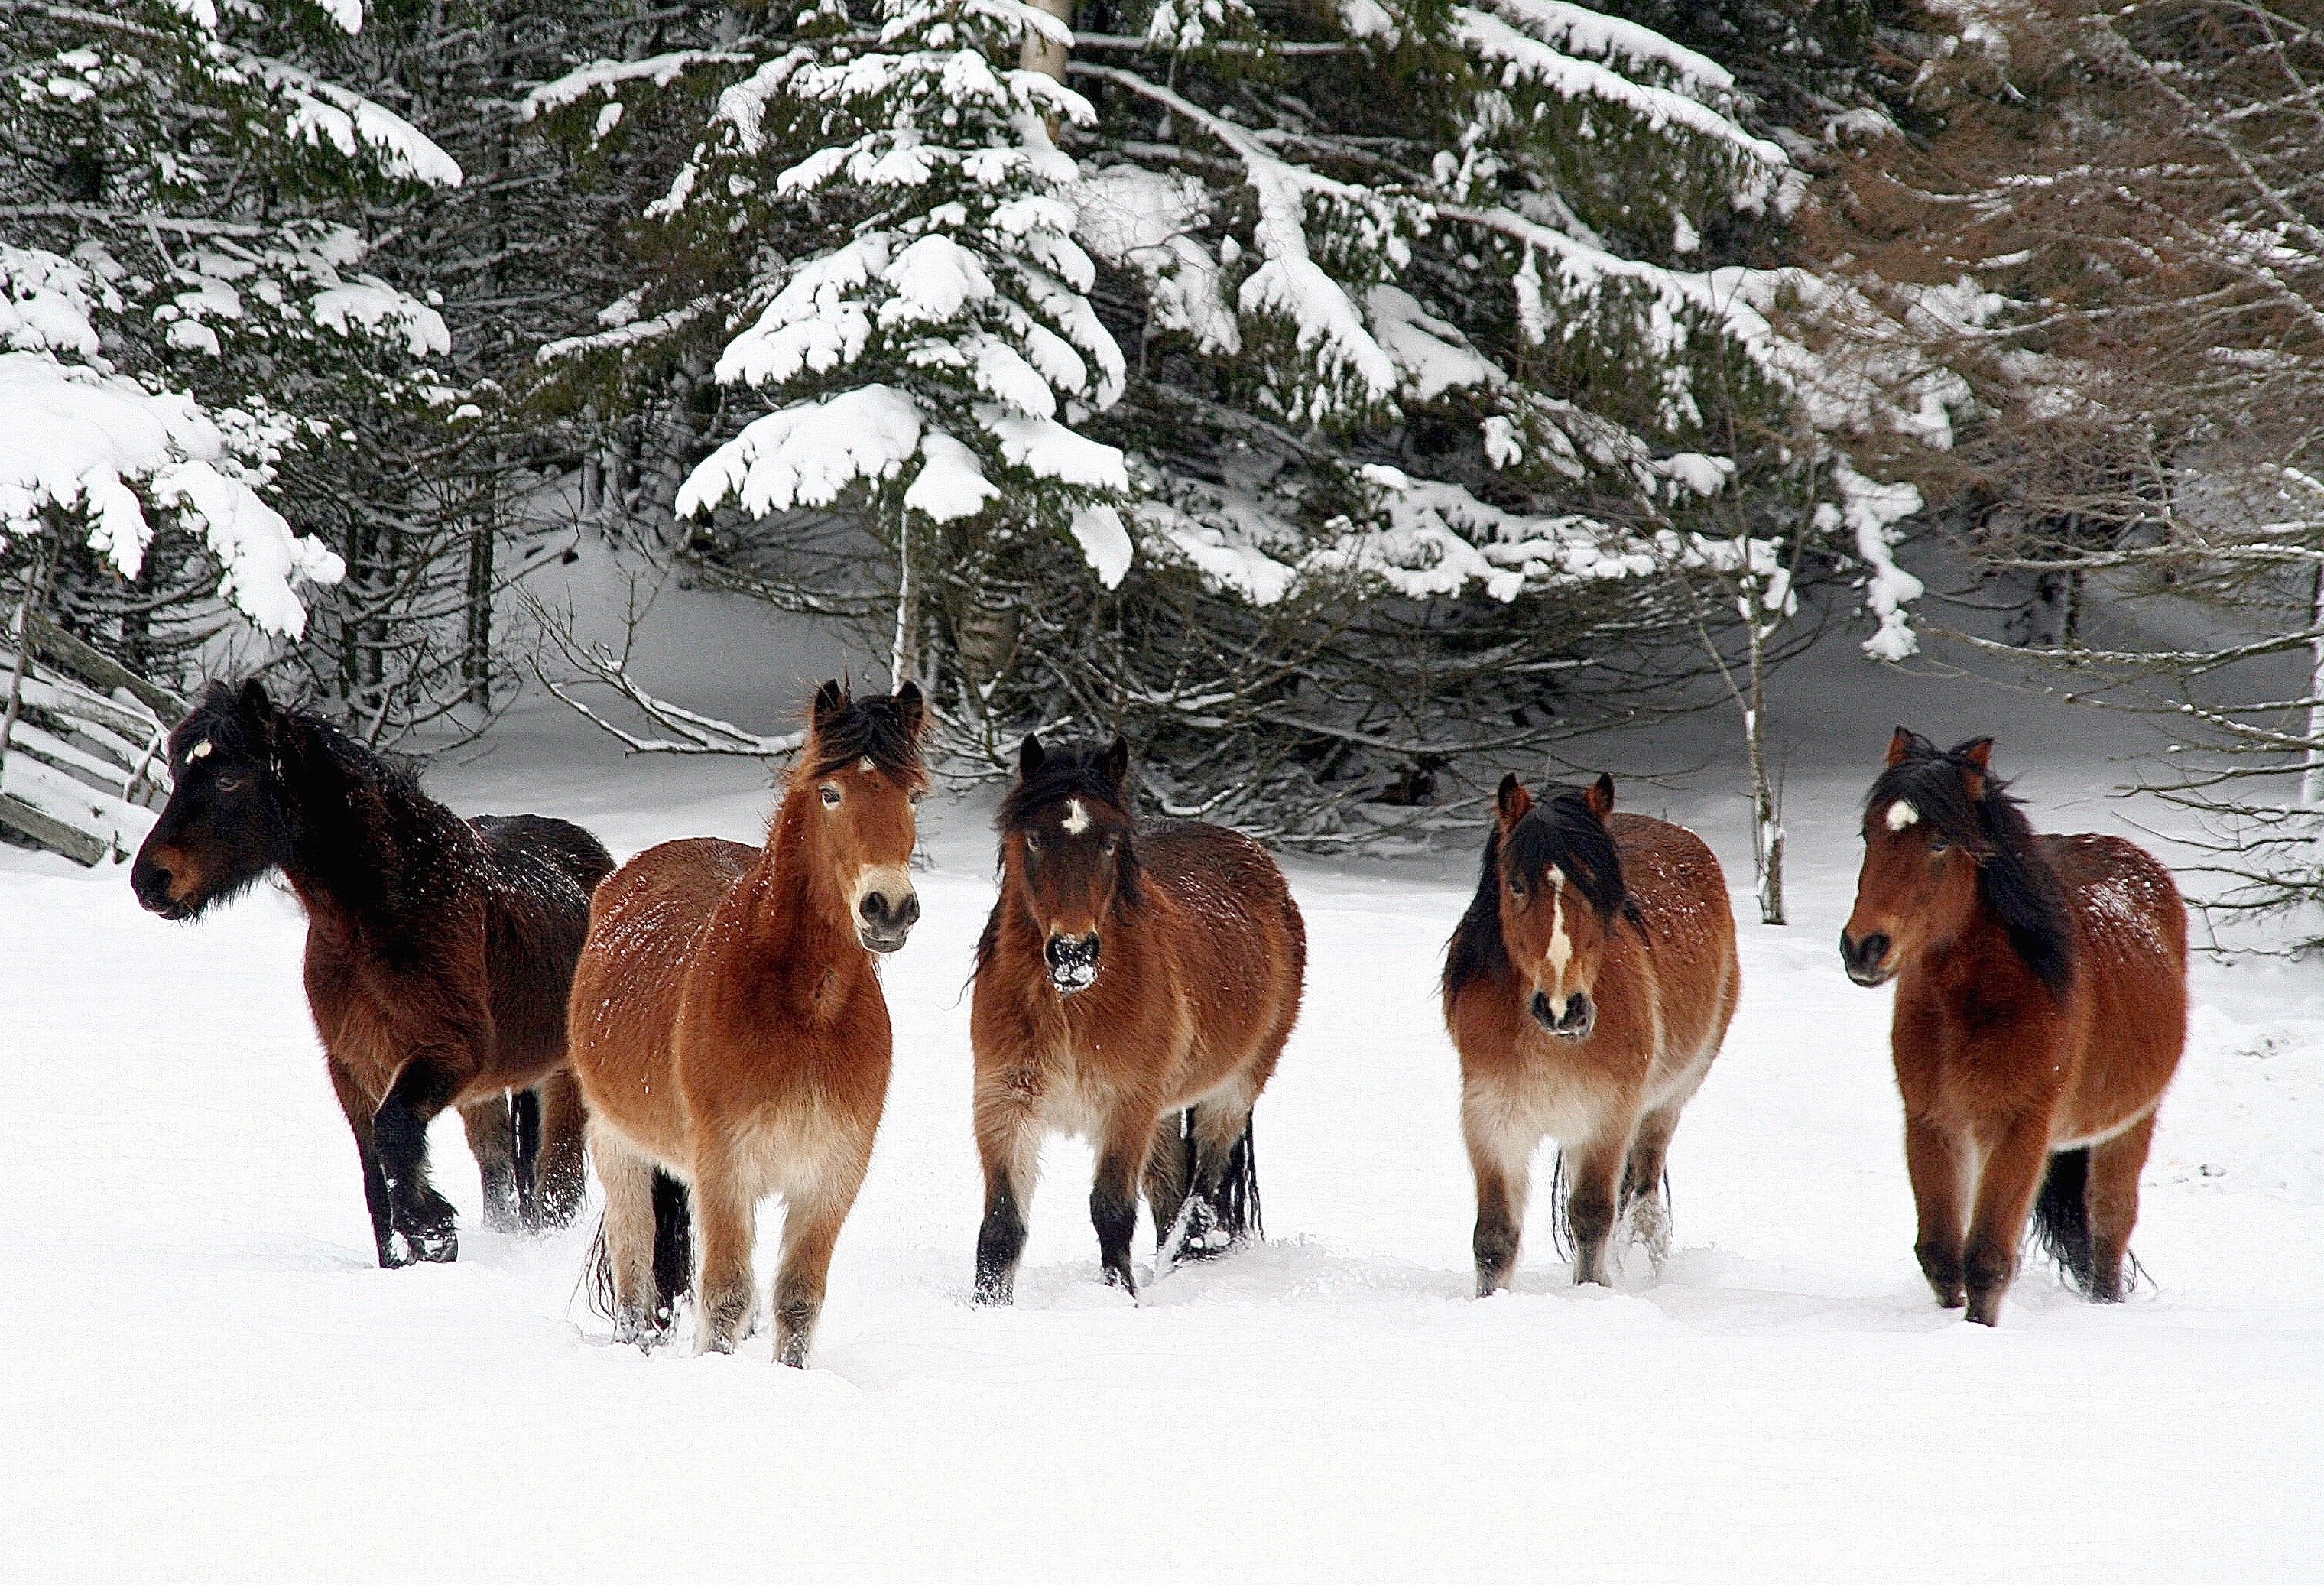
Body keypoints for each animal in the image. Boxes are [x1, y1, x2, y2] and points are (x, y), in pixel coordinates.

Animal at [131, 674, 613, 1255]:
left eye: (228, 779)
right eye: (178, 773)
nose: (150, 881)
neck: (384, 914)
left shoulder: (446, 1052)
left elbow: (394, 1137)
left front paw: (432, 1227)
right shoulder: (352, 1066)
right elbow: (375, 1178)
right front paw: (414, 1248)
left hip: (563, 1076)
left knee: (555, 1178)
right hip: (489, 1091)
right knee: (500, 1167)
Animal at [569, 678, 924, 1357]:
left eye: (915, 794)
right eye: (831, 792)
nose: (889, 907)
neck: (808, 1011)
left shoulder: (831, 1176)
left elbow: (798, 1299)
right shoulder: (724, 1167)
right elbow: (726, 1296)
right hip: (618, 1145)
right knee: (634, 1273)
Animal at [966, 734, 1310, 1301]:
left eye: (1109, 842)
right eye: (1034, 838)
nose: (1073, 953)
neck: (1072, 1006)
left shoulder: (1125, 1108)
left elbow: (1110, 1212)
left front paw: (1120, 1296)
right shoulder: (1005, 1104)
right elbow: (1000, 1225)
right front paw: (987, 1307)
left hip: (1232, 1090)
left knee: (1201, 1192)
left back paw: (1182, 1266)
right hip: (1165, 1110)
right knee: (1171, 1188)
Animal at [1440, 771, 1738, 1292]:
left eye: (1598, 886)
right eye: (1515, 884)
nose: (1564, 1009)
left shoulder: (1606, 1120)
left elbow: (1593, 1217)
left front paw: (1592, 1296)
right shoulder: (1493, 1122)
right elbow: (1494, 1238)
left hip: (1666, 1102)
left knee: (1643, 1203)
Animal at [1840, 729, 2184, 1320]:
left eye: (1939, 843)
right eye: (1868, 833)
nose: (1863, 946)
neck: (1973, 1005)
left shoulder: (2021, 1126)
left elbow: (1986, 1259)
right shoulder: (1932, 1124)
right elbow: (1942, 1254)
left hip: (2129, 1125)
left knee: (2109, 1225)